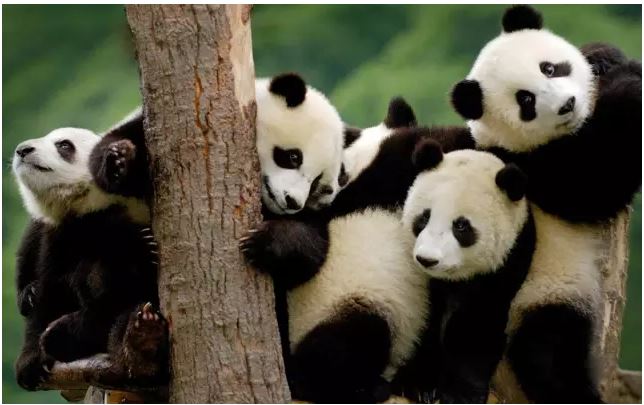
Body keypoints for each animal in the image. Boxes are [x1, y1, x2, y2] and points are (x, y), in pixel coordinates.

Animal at [394, 147, 535, 404]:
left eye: (461, 226)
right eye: (424, 217)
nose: (427, 259)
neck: (453, 279)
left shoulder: (505, 266)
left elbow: (476, 328)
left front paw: (460, 393)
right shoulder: (427, 283)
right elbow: (426, 319)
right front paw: (416, 384)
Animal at [447, 5, 642, 403]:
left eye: (549, 68)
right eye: (526, 101)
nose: (567, 104)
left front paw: (603, 58)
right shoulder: (529, 168)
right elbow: (596, 177)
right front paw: (631, 83)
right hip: (538, 292)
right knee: (547, 356)